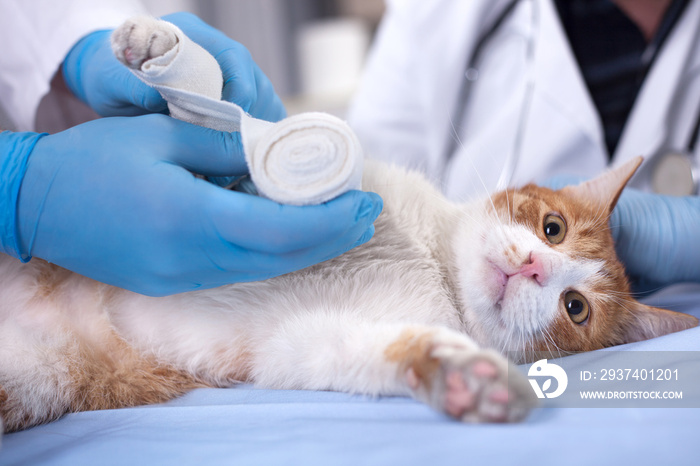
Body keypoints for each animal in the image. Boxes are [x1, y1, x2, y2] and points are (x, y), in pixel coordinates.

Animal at [1, 146, 696, 434]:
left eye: (574, 309)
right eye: (551, 227)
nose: (531, 266)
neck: (432, 260)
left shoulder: (299, 344)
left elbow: (360, 351)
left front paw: (457, 376)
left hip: (41, 376)